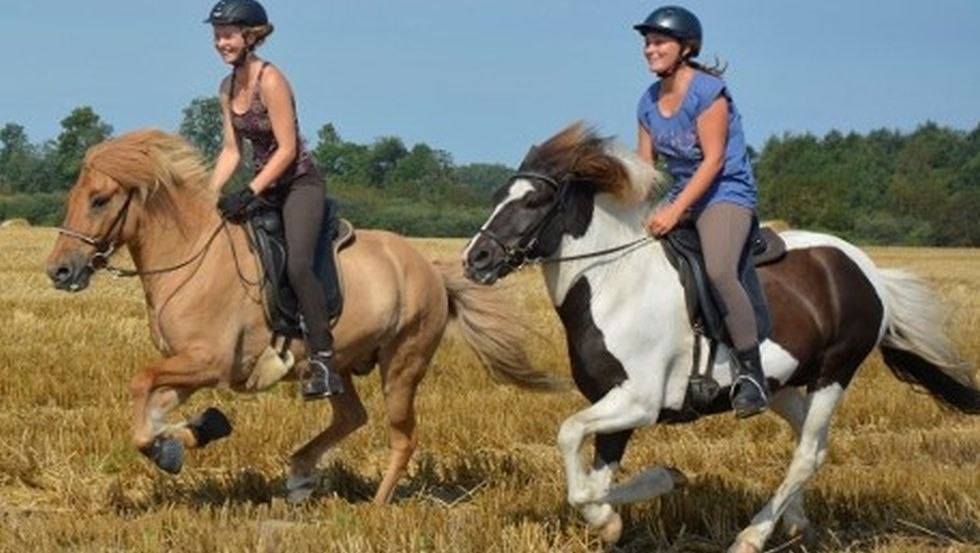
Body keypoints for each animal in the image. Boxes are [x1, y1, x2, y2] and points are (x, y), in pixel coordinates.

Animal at [46, 128, 564, 504]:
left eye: (99, 200)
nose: (59, 270)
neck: (190, 257)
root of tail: (430, 270)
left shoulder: (209, 363)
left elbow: (140, 384)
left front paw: (182, 440)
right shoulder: (188, 367)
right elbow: (149, 408)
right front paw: (188, 435)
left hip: (403, 364)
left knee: (403, 437)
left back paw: (376, 506)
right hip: (337, 364)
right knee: (352, 415)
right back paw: (298, 475)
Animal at [462, 122, 980, 552]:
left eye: (534, 202)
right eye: (497, 195)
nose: (476, 259)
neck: (611, 282)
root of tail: (868, 270)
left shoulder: (638, 402)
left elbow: (572, 445)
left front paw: (662, 482)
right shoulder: (613, 405)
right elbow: (593, 480)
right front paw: (612, 518)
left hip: (835, 371)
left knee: (807, 454)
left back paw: (751, 536)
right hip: (782, 385)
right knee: (810, 446)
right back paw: (794, 523)